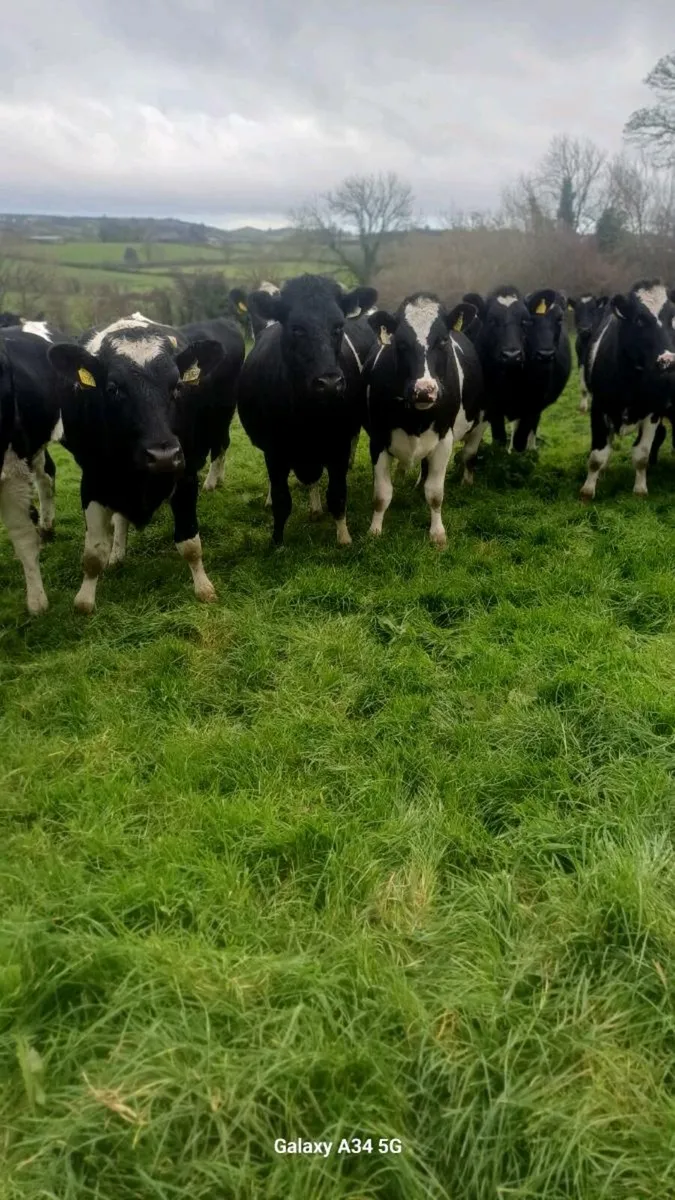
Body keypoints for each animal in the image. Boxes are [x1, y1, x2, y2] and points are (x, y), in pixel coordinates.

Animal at [47, 312, 244, 612]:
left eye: (177, 386)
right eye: (113, 389)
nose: (162, 455)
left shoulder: (185, 473)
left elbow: (190, 543)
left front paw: (203, 588)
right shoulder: (92, 479)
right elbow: (93, 554)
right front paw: (85, 601)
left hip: (222, 416)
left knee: (220, 445)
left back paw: (213, 481)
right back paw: (118, 552)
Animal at [236, 274, 377, 546]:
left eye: (338, 326)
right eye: (296, 328)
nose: (330, 383)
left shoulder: (338, 444)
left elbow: (337, 495)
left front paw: (344, 538)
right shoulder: (275, 452)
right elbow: (281, 500)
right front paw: (277, 542)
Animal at [363, 294, 485, 545]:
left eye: (442, 341)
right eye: (400, 343)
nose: (424, 390)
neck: (415, 419)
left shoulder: (444, 439)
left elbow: (436, 494)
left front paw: (437, 533)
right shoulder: (377, 440)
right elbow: (381, 494)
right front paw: (375, 530)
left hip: (478, 420)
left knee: (468, 453)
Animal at [463, 286, 571, 452]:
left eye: (524, 321)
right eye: (491, 320)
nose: (512, 355)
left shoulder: (533, 404)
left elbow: (521, 440)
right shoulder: (492, 405)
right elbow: (499, 438)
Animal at [579, 280, 675, 501]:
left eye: (673, 318)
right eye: (639, 320)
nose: (668, 360)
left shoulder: (653, 411)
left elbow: (641, 454)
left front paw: (640, 489)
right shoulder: (599, 407)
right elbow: (597, 455)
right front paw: (587, 491)